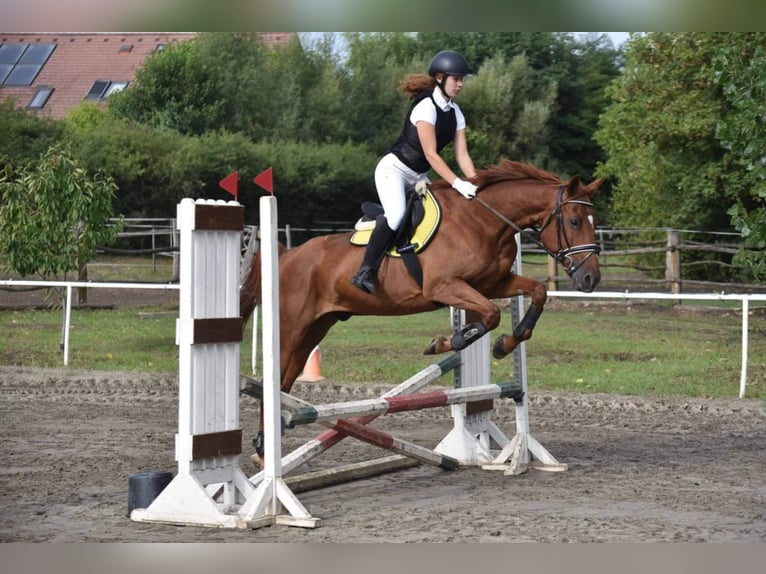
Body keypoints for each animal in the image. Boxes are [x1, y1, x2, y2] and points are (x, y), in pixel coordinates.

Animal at [241, 159, 602, 458]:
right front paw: (445, 343)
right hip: (292, 329)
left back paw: (267, 443)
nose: (590, 278)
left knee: (285, 381)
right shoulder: (445, 287)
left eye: (592, 221)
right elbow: (490, 315)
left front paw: (506, 343)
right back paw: (263, 445)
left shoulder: (492, 284)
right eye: (573, 221)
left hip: (315, 329)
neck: (483, 221)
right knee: (274, 380)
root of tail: (287, 256)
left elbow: (537, 292)